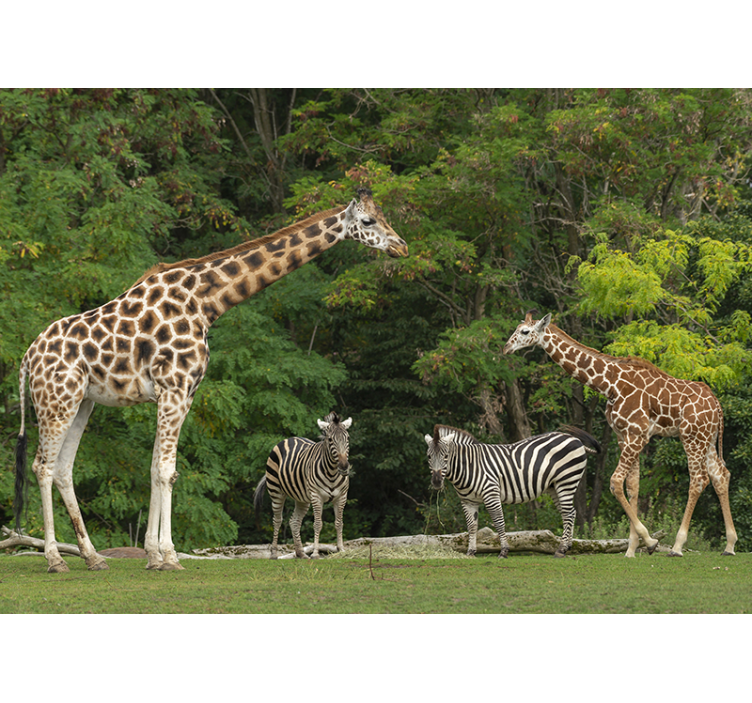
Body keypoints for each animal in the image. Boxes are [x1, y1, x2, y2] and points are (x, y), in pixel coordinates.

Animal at [14, 188, 408, 573]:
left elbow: (158, 469)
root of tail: (27, 359)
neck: (206, 302)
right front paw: (170, 557)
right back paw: (55, 559)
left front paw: (154, 556)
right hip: (56, 402)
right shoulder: (173, 389)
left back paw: (93, 557)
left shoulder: (183, 394)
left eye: (385, 216)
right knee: (42, 466)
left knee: (63, 469)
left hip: (83, 402)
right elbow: (166, 470)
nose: (402, 247)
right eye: (368, 221)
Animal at [502, 310, 737, 558]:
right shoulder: (624, 435)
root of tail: (717, 405)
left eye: (525, 331)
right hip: (707, 438)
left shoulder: (637, 434)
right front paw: (632, 548)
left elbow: (616, 482)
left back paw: (677, 546)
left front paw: (649, 541)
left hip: (691, 437)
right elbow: (632, 486)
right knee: (720, 475)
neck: (610, 385)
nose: (506, 348)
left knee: (698, 479)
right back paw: (729, 546)